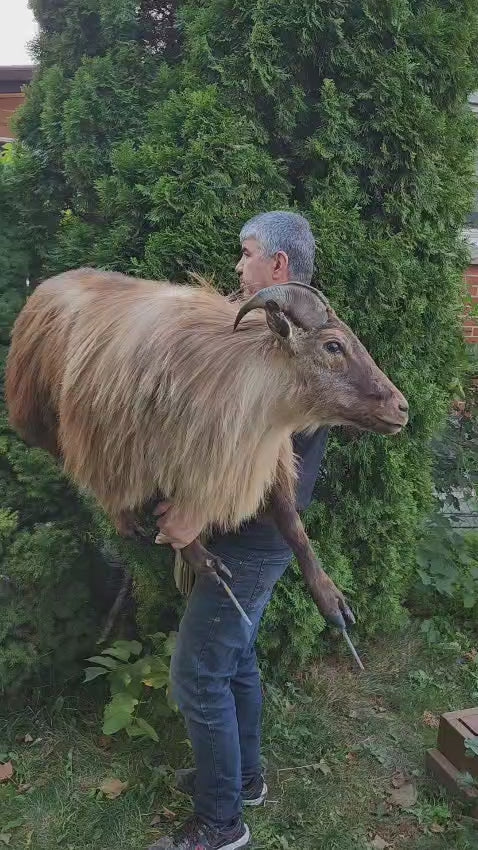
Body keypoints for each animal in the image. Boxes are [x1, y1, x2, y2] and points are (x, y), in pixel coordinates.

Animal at [5, 268, 409, 627]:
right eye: (333, 345)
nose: (401, 408)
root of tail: (44, 285)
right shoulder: (158, 454)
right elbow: (170, 520)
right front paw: (204, 561)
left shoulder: (262, 457)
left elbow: (292, 523)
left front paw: (331, 600)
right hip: (41, 419)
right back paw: (127, 522)